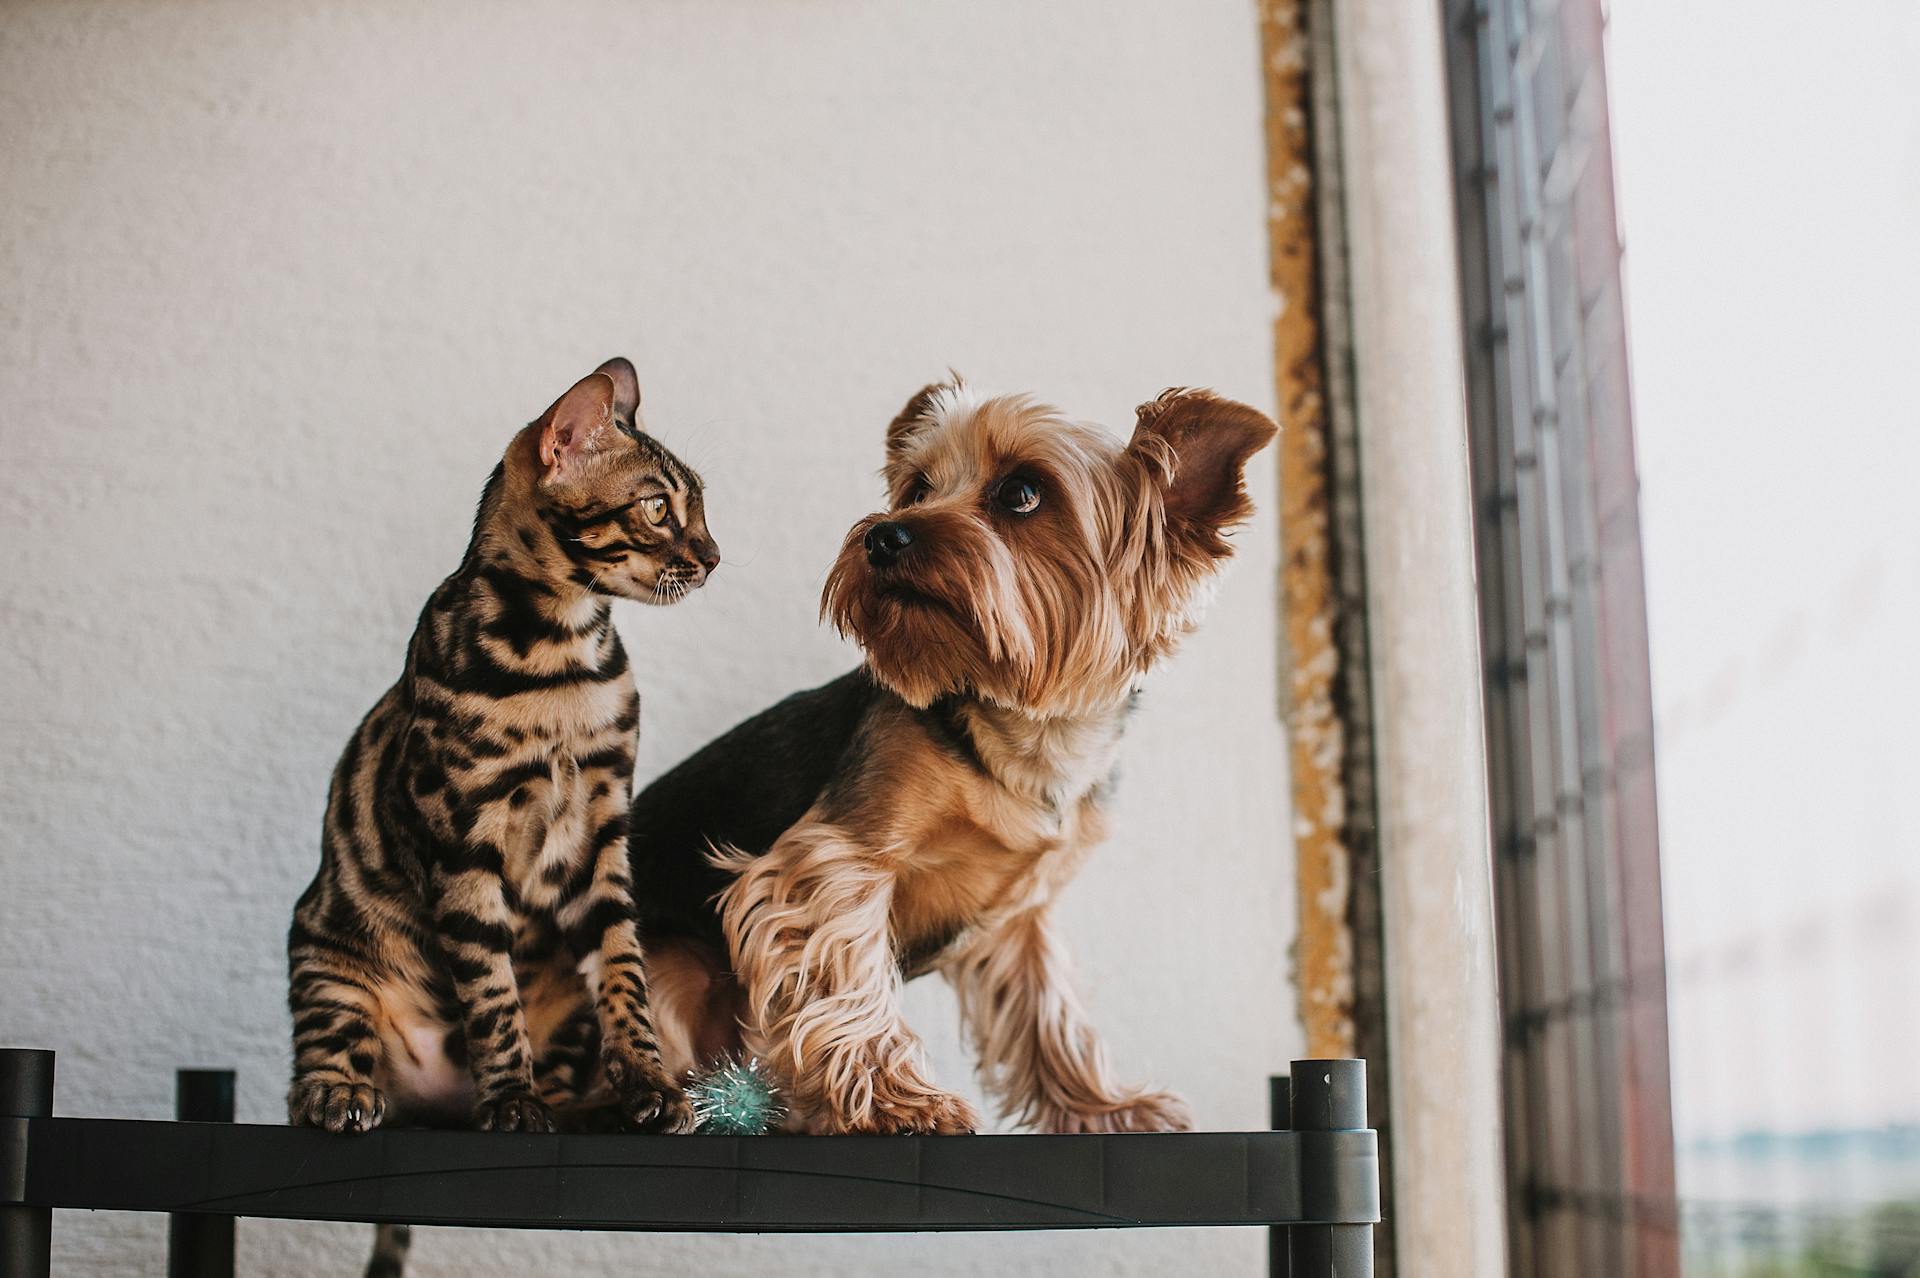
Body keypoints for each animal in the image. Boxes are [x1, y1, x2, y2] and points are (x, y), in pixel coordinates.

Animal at [280, 358, 710, 1136]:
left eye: (700, 509)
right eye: (658, 508)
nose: (716, 558)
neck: (563, 659)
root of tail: (442, 1103)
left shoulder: (602, 827)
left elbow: (623, 971)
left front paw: (652, 1083)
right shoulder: (463, 837)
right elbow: (489, 991)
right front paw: (511, 1098)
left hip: (566, 1004)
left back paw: (592, 1107)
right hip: (327, 952)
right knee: (314, 1065)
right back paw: (343, 1093)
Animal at [629, 376, 1282, 1128]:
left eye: (1022, 492)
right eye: (917, 488)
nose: (882, 534)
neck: (1024, 732)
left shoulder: (1020, 920)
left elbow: (1050, 1011)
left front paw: (1103, 1106)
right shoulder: (839, 856)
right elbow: (847, 973)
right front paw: (898, 1099)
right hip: (672, 968)